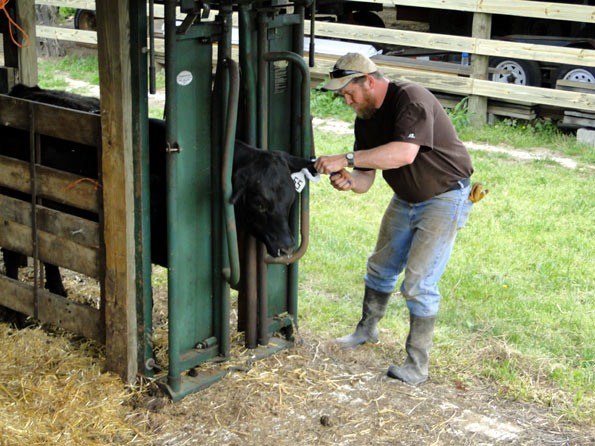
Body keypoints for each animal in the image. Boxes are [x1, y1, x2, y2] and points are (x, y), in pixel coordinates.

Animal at [0, 85, 316, 298]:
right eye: (259, 202)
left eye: (291, 199)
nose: (288, 245)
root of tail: (22, 90)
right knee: (13, 248)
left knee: (49, 249)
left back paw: (56, 290)